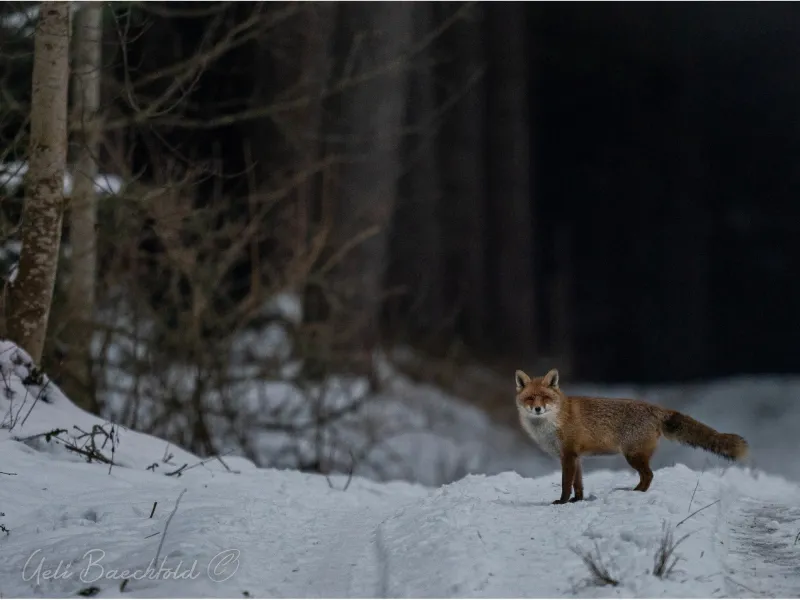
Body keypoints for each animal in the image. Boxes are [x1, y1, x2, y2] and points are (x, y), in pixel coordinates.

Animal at [515, 368, 749, 504]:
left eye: (545, 397)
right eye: (530, 398)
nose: (537, 409)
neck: (554, 422)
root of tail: (656, 408)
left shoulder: (569, 455)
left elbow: (565, 483)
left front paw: (562, 502)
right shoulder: (576, 457)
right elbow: (578, 484)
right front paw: (577, 501)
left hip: (633, 455)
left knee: (649, 475)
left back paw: (636, 493)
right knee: (648, 476)